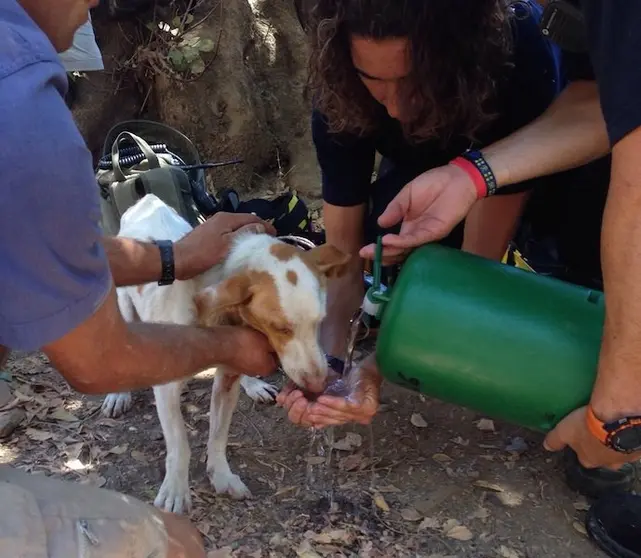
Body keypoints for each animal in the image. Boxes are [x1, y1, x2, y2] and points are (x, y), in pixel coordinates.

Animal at [102, 195, 348, 516]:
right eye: (280, 328)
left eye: (320, 321)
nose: (319, 385)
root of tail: (146, 201)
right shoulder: (167, 386)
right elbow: (179, 443)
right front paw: (176, 489)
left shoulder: (229, 376)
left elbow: (218, 433)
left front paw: (220, 474)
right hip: (124, 306)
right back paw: (118, 395)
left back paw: (254, 385)